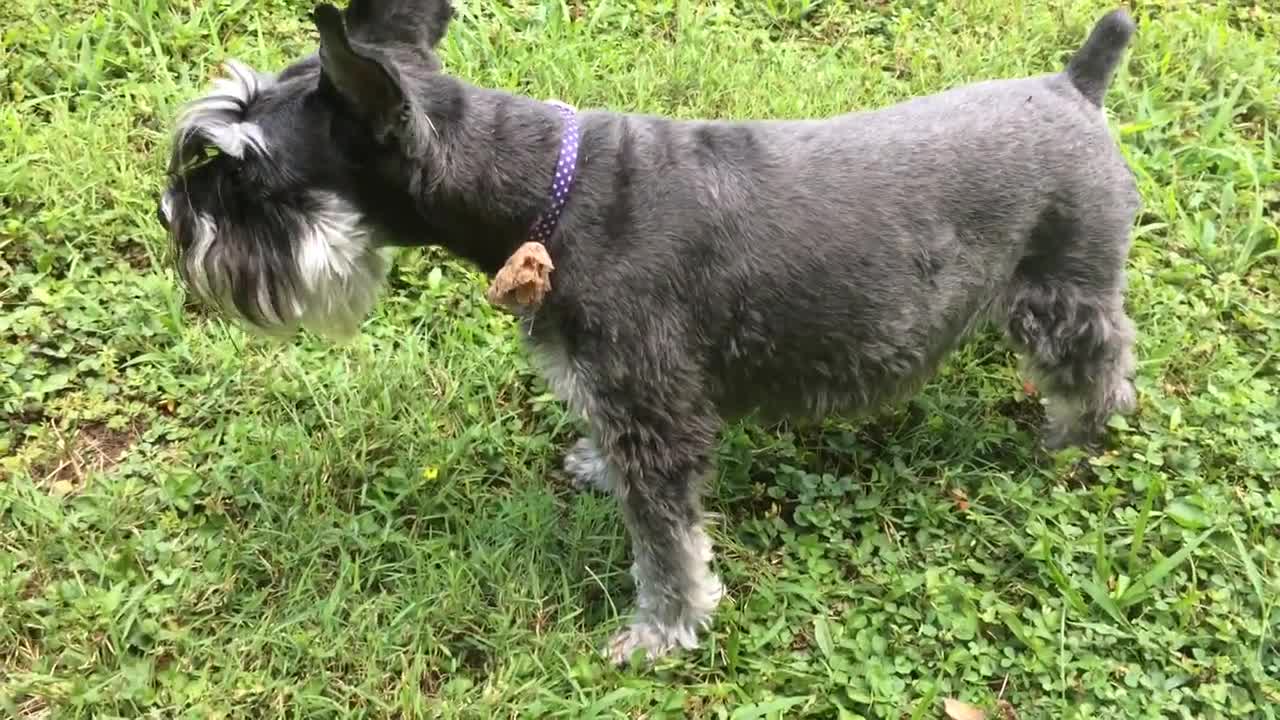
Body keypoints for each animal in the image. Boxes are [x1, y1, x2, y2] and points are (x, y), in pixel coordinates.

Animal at [157, 1, 1141, 661]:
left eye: (247, 173)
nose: (171, 213)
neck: (546, 195)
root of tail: (1074, 85)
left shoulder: (657, 414)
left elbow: (666, 544)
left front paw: (663, 630)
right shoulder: (615, 392)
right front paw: (595, 469)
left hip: (1062, 291)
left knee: (1103, 357)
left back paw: (1073, 437)